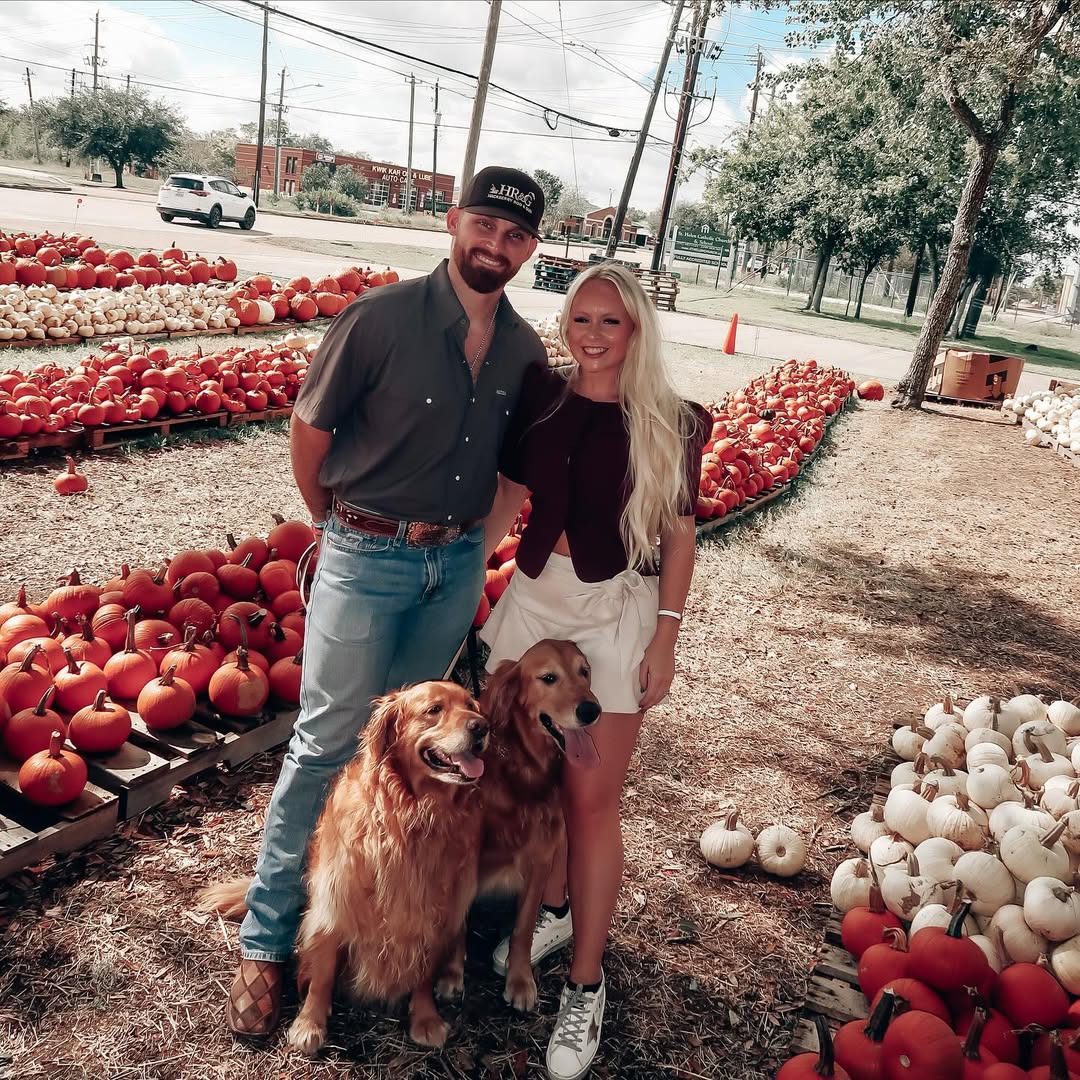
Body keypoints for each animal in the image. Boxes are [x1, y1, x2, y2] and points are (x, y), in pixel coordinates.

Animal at [197, 680, 490, 1054]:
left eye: (472, 706)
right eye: (433, 710)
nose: (482, 727)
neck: (413, 815)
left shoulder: (431, 914)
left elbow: (423, 974)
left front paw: (426, 1018)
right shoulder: (335, 903)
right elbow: (323, 972)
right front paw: (309, 1024)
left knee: (459, 932)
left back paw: (452, 974)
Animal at [468, 639, 602, 1012]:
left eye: (584, 672)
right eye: (548, 678)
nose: (591, 710)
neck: (525, 768)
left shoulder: (540, 858)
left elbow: (525, 926)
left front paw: (519, 979)